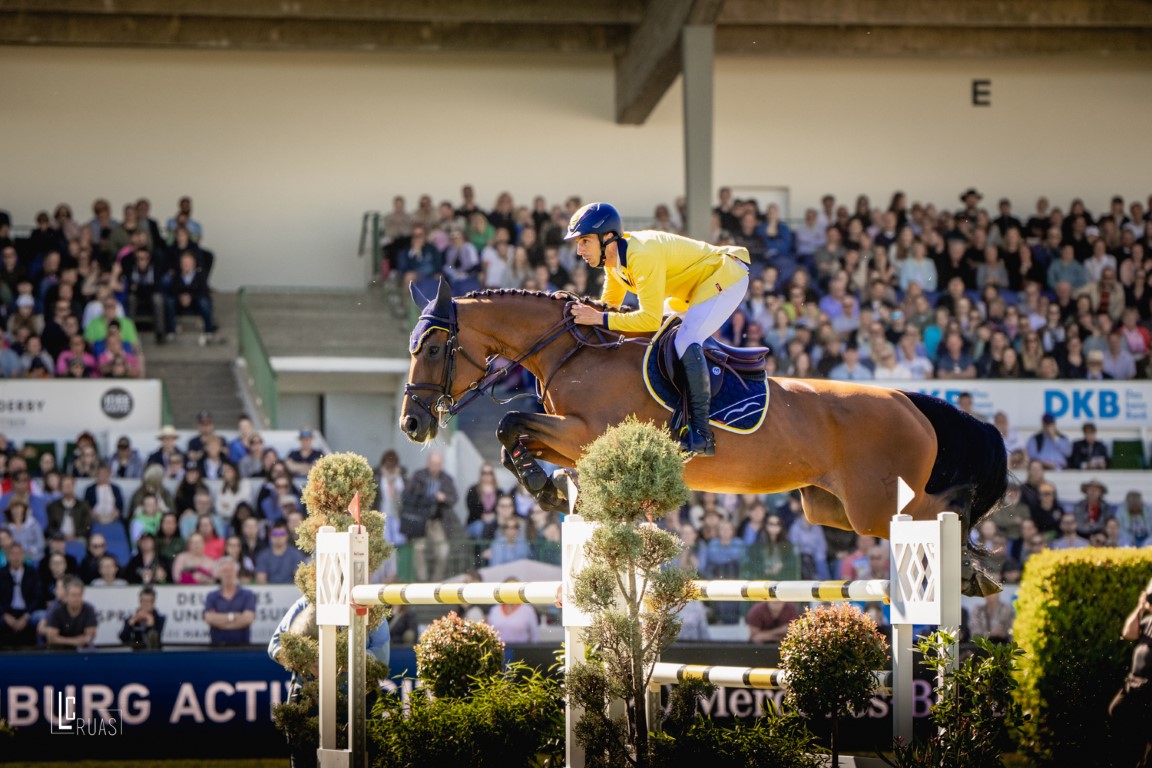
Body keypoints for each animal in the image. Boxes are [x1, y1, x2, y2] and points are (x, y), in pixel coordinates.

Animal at [403, 279, 1009, 598]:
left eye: (432, 348)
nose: (413, 424)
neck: (573, 353)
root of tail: (909, 401)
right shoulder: (571, 439)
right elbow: (515, 434)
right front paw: (547, 486)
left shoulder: (584, 432)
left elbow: (510, 424)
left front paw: (543, 485)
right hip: (827, 506)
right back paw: (973, 572)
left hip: (877, 505)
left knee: (941, 513)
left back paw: (970, 565)